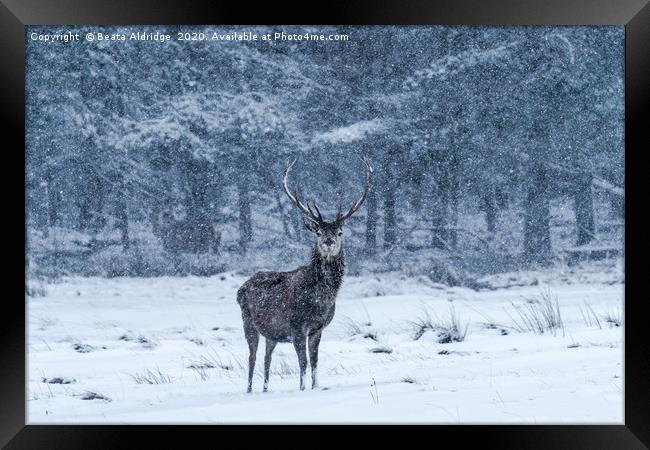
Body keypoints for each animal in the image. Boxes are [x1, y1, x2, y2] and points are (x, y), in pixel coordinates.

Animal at [235, 157, 372, 390]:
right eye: (318, 232)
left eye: (340, 232)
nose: (328, 241)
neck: (320, 300)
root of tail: (240, 288)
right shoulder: (297, 326)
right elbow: (304, 363)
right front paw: (302, 389)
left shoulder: (317, 329)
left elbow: (315, 361)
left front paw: (315, 387)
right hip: (248, 322)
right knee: (252, 358)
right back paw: (249, 390)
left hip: (272, 333)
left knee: (267, 358)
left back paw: (265, 390)